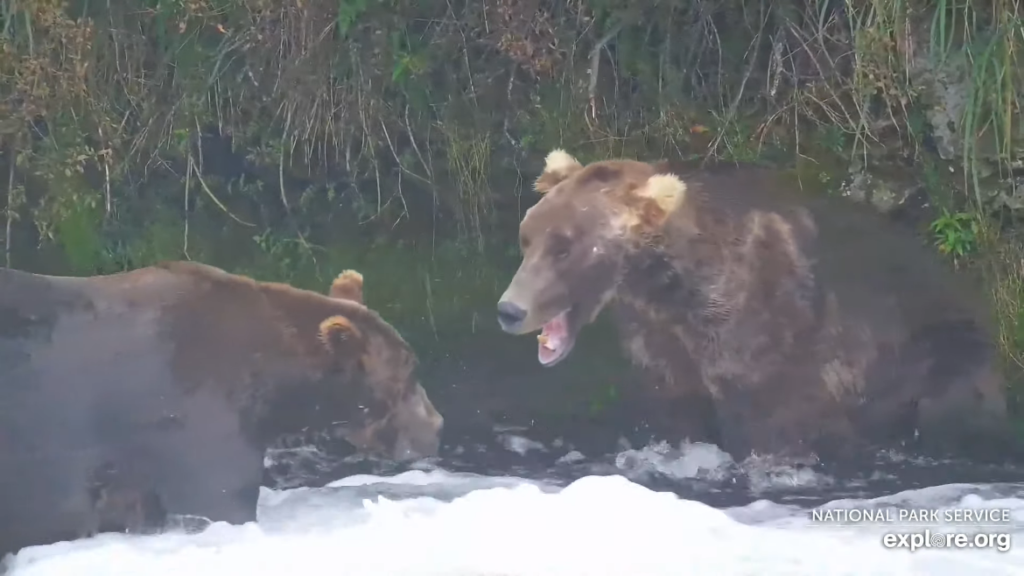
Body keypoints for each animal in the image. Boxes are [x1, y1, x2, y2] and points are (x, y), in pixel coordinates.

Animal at [495, 148, 1007, 461]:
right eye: (528, 237)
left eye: (566, 247)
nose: (510, 310)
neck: (671, 288)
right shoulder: (662, 341)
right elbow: (679, 410)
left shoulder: (760, 331)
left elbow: (766, 419)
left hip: (936, 341)